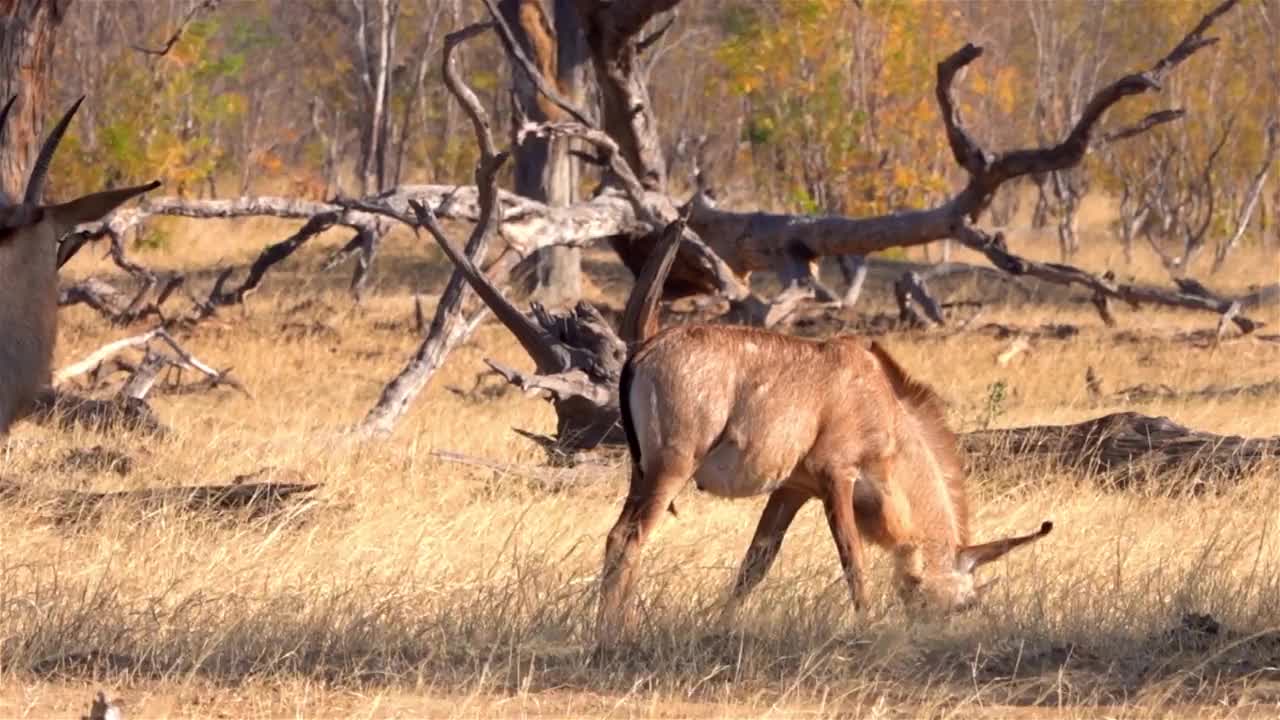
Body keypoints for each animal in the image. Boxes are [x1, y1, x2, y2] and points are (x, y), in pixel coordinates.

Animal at [599, 322, 1049, 635]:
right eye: (964, 605)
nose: (933, 639)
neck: (884, 404)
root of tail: (643, 353)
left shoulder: (792, 490)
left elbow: (755, 565)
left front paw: (721, 624)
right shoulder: (837, 476)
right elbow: (853, 560)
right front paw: (867, 626)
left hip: (642, 474)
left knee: (616, 535)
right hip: (672, 468)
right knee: (631, 538)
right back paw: (618, 629)